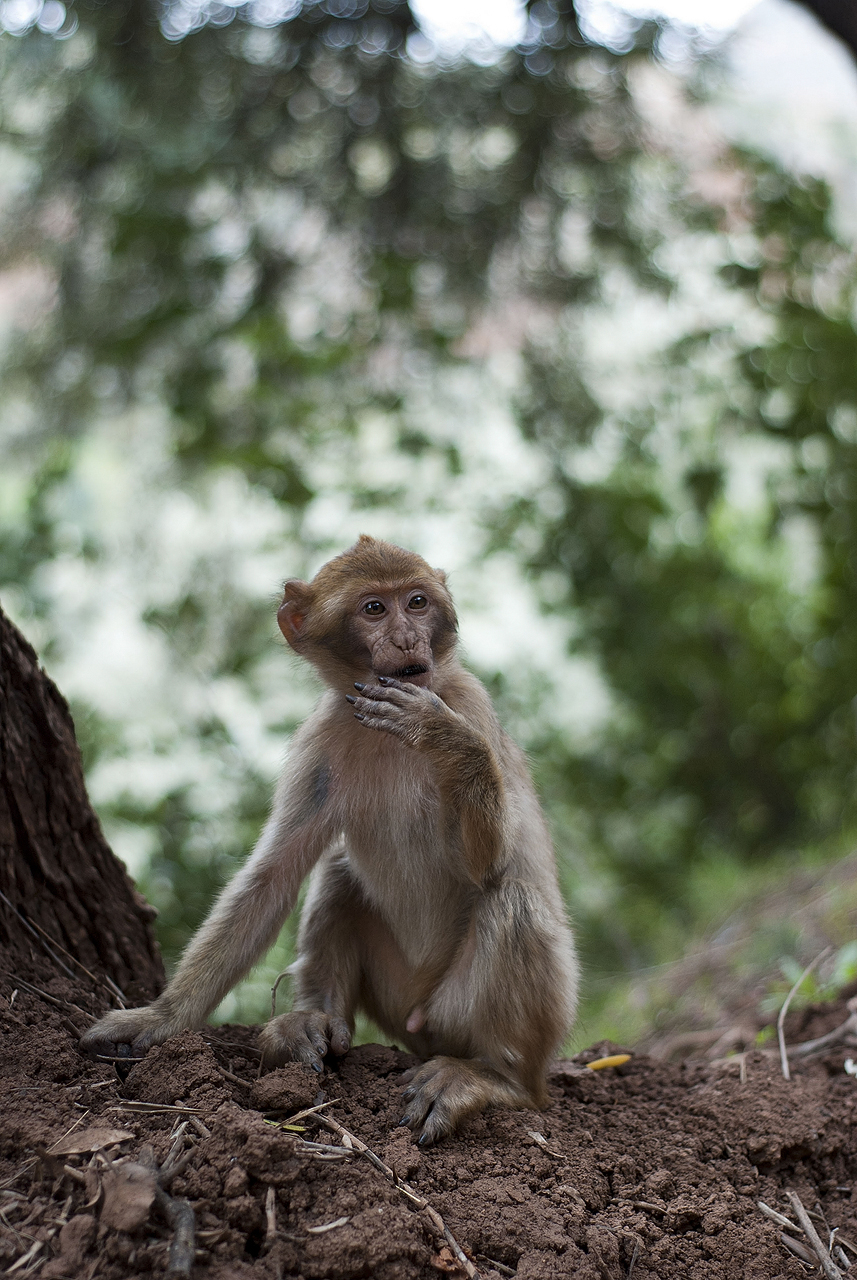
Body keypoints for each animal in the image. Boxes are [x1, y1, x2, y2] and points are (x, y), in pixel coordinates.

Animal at [82, 535, 578, 1146]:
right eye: (375, 609)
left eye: (416, 602)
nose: (407, 639)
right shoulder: (321, 738)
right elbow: (274, 874)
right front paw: (161, 1018)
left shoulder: (471, 702)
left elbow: (488, 864)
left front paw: (440, 736)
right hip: (397, 998)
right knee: (338, 872)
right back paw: (314, 1022)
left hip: (465, 1012)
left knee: (515, 900)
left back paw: (495, 1080)